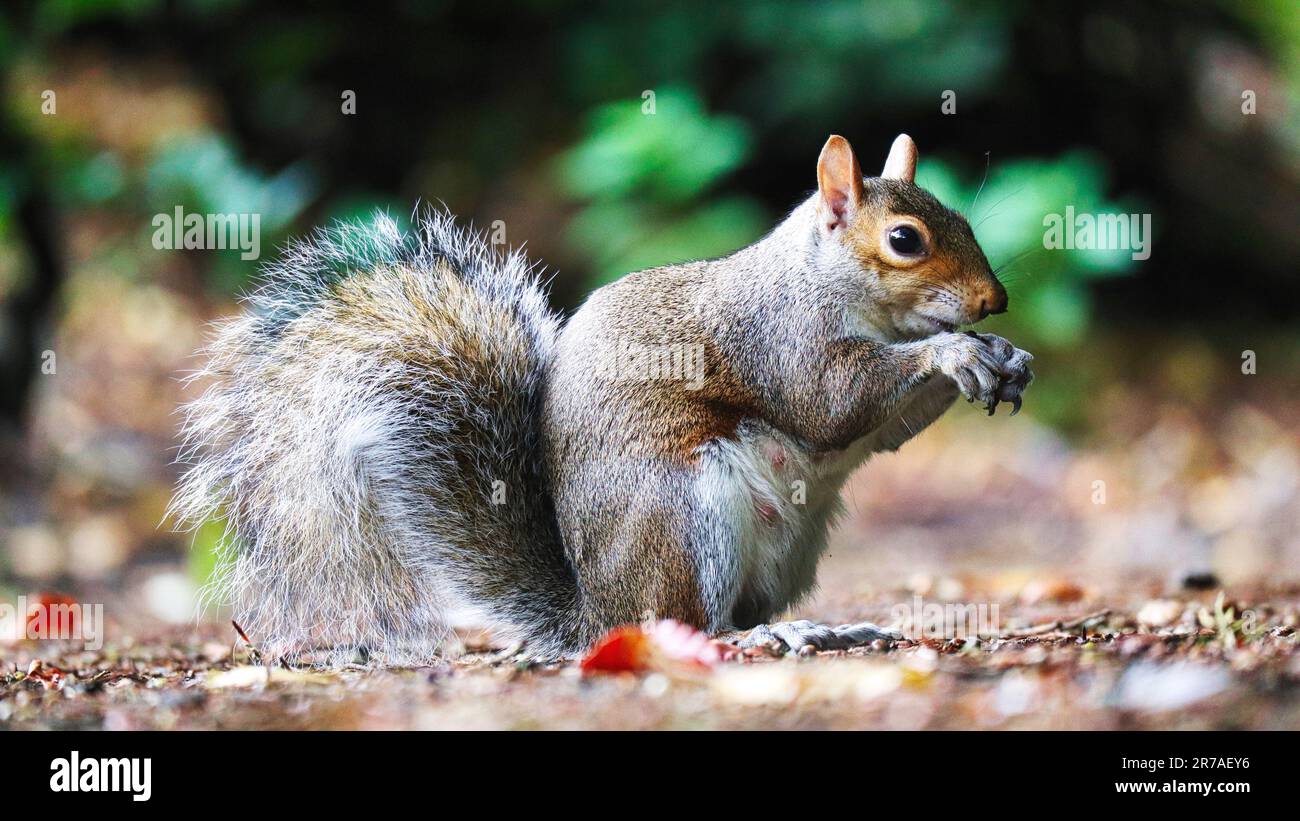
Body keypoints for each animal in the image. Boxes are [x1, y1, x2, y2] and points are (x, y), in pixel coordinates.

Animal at [170, 133, 1034, 659]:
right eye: (905, 240)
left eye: (961, 216)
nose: (994, 302)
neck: (819, 279)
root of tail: (595, 614)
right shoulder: (778, 341)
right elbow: (833, 403)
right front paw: (957, 350)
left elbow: (880, 429)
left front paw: (1006, 358)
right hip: (685, 515)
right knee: (683, 622)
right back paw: (749, 641)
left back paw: (823, 630)